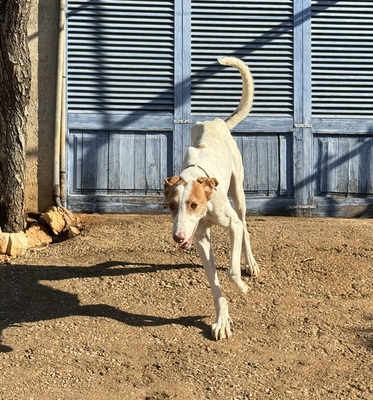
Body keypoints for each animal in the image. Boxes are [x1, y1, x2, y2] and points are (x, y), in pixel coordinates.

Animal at [164, 55, 258, 338]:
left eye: (193, 204)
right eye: (171, 206)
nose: (178, 237)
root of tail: (216, 122)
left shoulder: (232, 225)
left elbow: (230, 271)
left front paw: (242, 287)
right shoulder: (201, 239)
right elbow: (215, 284)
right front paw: (222, 320)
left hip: (239, 194)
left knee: (246, 227)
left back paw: (250, 263)